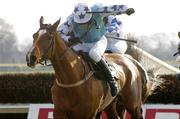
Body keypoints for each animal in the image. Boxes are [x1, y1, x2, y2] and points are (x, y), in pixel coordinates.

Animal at [25, 16, 153, 118]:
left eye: (49, 37)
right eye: (34, 35)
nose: (30, 57)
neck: (71, 80)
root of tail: (130, 60)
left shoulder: (88, 114)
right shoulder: (59, 113)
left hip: (133, 104)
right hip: (111, 105)